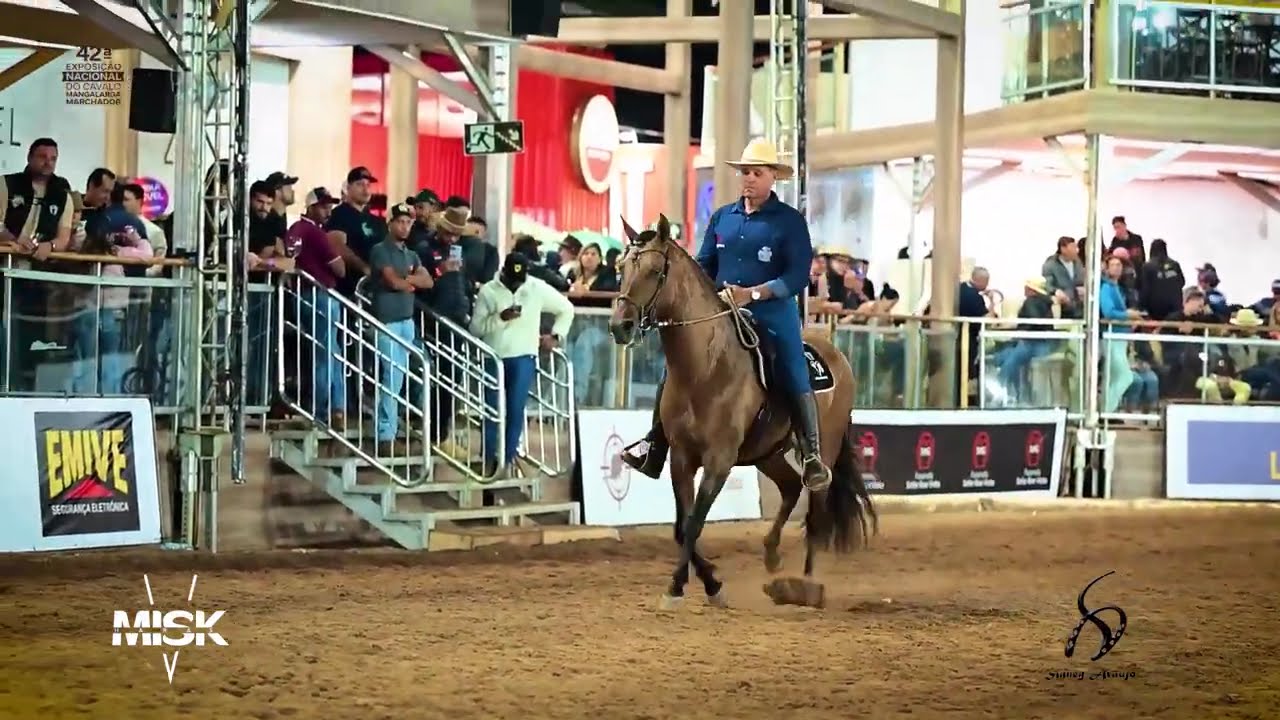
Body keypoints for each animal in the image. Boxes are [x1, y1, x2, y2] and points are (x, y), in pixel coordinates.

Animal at [609, 214, 877, 609]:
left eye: (655, 270)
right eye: (622, 268)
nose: (620, 326)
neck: (705, 367)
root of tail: (835, 354)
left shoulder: (719, 460)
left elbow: (694, 522)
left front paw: (678, 588)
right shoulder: (681, 458)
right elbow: (682, 526)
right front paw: (709, 583)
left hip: (823, 450)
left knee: (816, 512)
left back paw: (806, 586)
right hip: (768, 452)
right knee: (789, 489)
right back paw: (772, 554)